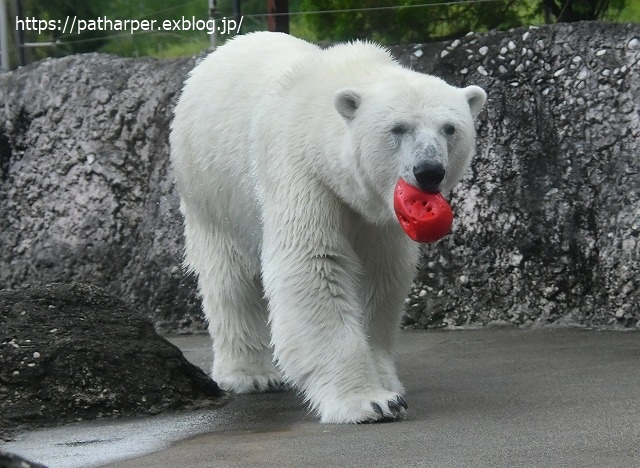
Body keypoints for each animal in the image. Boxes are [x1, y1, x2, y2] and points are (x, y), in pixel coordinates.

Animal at [170, 32, 484, 424]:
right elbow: (312, 264)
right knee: (230, 278)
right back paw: (252, 375)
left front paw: (386, 381)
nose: (429, 171)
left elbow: (381, 274)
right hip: (211, 189)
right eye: (398, 128)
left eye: (449, 128)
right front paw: (370, 402)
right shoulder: (303, 173)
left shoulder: (380, 214)